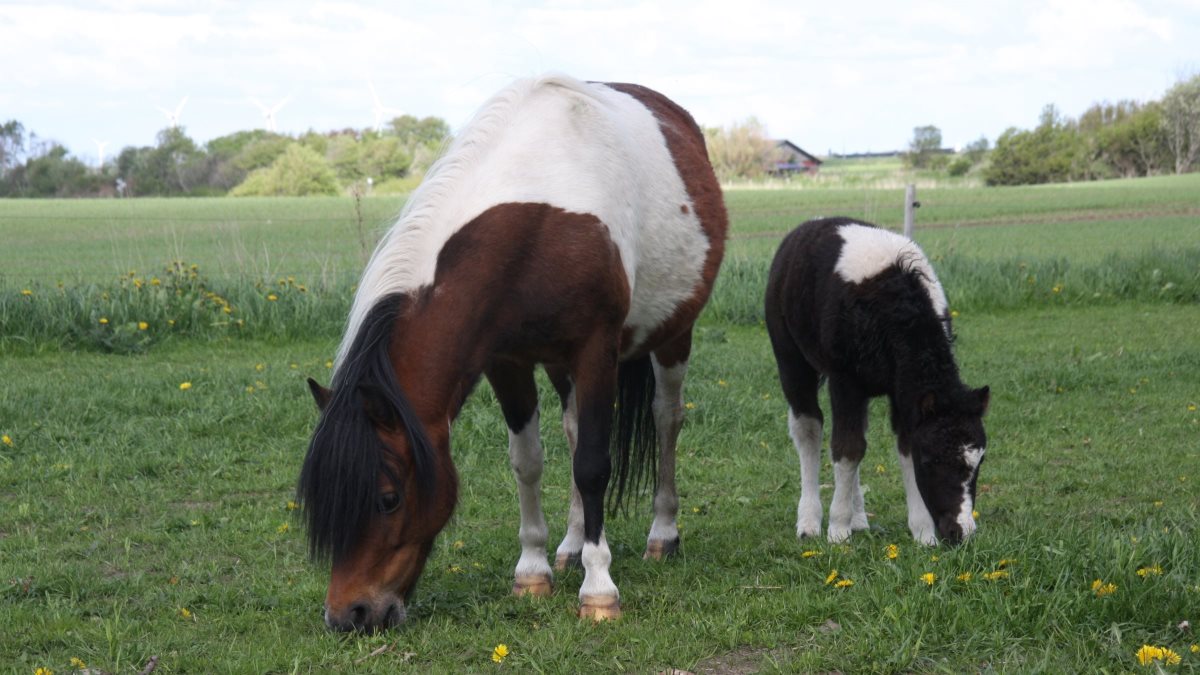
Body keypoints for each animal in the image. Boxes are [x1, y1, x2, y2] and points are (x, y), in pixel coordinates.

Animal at [300, 76, 729, 629]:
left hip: (674, 336)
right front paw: (533, 572)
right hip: (560, 364)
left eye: (388, 499)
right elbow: (528, 461)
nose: (347, 615)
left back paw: (662, 535)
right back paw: (572, 546)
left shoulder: (596, 350)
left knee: (665, 419)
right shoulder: (507, 362)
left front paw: (599, 589)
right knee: (573, 430)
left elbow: (594, 464)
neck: (539, 218)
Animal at [763, 218, 988, 542]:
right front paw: (838, 530)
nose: (962, 531)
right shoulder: (844, 381)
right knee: (808, 428)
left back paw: (858, 518)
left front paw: (923, 532)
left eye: (979, 462)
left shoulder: (904, 392)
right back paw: (809, 521)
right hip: (791, 359)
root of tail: (807, 226)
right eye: (931, 461)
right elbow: (847, 448)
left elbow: (900, 445)